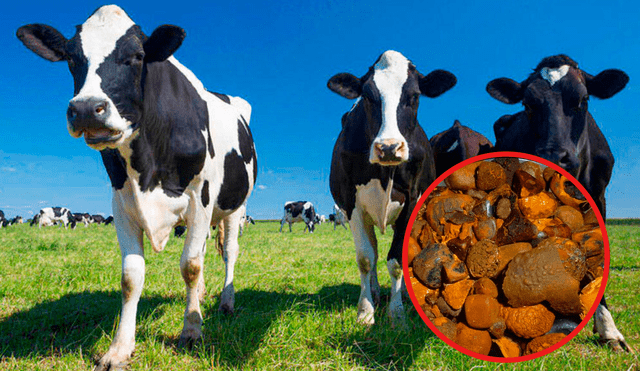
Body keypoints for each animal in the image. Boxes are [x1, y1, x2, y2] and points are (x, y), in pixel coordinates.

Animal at [17, 5, 258, 370]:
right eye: (72, 58)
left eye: (137, 56)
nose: (86, 109)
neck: (148, 164)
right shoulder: (122, 204)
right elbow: (131, 277)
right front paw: (119, 348)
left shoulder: (200, 198)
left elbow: (190, 266)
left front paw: (191, 331)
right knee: (203, 251)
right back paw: (201, 297)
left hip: (233, 207)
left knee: (228, 252)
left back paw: (225, 303)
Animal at [328, 50, 458, 326]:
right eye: (367, 96)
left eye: (415, 96)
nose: (388, 147)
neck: (384, 172)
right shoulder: (351, 204)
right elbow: (365, 258)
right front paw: (366, 311)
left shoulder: (412, 199)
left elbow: (397, 260)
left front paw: (397, 314)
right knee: (375, 252)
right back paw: (376, 293)